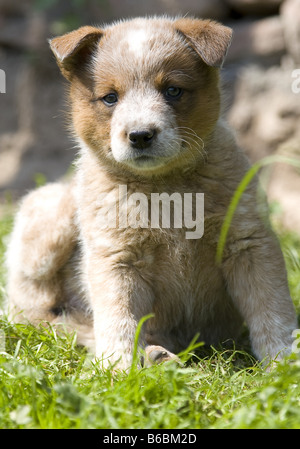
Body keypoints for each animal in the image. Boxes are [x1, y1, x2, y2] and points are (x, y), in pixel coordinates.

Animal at [5, 16, 298, 368]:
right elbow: (119, 318)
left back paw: (156, 355)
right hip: (51, 216)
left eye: (172, 90)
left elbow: (271, 308)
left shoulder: (249, 243)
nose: (140, 135)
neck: (165, 187)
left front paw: (284, 361)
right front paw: (118, 369)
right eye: (110, 98)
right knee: (44, 317)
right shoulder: (115, 258)